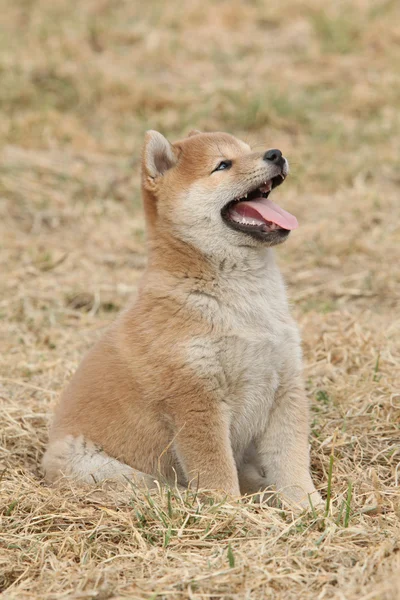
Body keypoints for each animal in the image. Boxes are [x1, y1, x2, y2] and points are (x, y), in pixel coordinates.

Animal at [42, 129, 322, 508]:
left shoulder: (285, 383)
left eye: (250, 150)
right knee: (154, 485)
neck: (245, 304)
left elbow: (290, 460)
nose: (276, 153)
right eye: (223, 165)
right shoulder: (196, 399)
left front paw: (309, 506)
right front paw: (229, 511)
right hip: (95, 466)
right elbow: (216, 469)